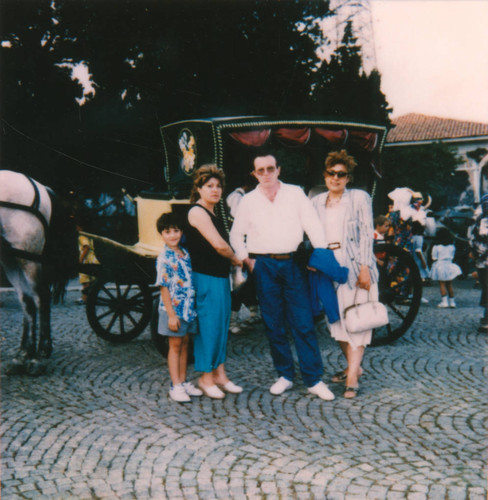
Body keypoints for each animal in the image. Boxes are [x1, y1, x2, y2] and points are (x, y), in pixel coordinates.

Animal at [0, 170, 76, 374]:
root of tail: (40, 186)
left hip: (28, 256)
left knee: (41, 296)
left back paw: (39, 355)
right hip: (11, 259)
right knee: (27, 300)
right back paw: (24, 354)